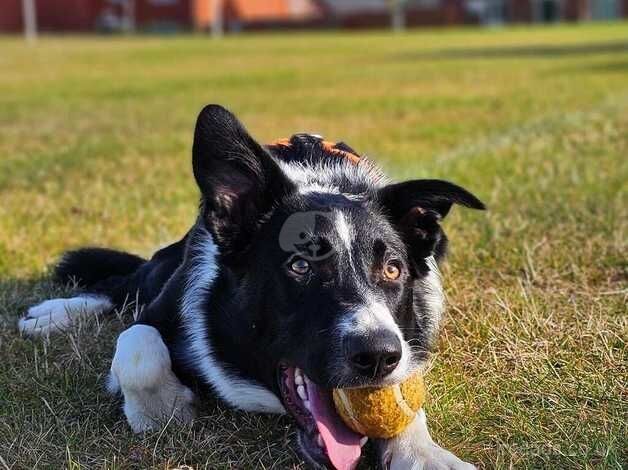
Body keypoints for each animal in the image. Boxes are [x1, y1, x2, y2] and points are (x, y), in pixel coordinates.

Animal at [17, 104, 484, 468]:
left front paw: (422, 453)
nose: (378, 356)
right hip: (160, 268)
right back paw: (53, 314)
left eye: (392, 270)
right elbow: (136, 348)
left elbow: (410, 387)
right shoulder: (163, 310)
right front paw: (160, 409)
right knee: (123, 283)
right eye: (299, 265)